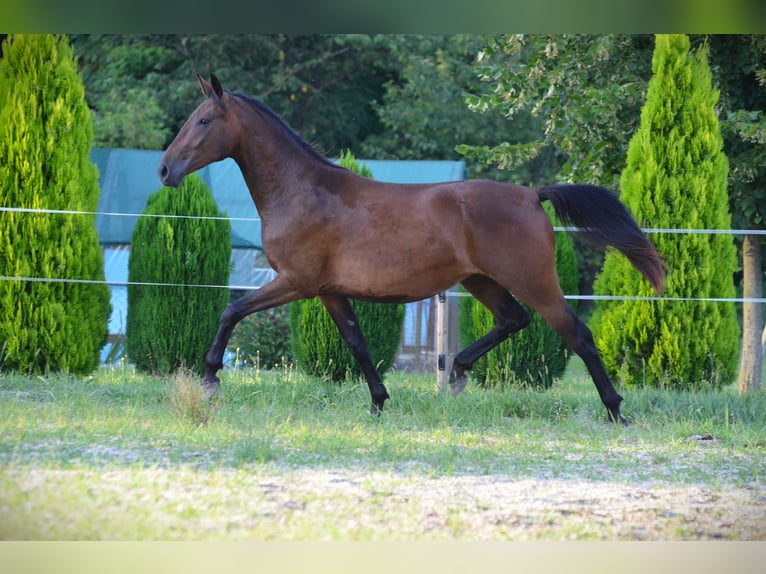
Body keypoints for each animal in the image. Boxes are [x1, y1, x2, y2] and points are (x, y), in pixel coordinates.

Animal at [160, 74, 664, 426]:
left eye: (203, 120)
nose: (166, 169)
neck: (303, 191)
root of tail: (532, 195)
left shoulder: (295, 283)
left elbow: (231, 310)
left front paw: (209, 379)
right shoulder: (328, 291)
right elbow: (358, 344)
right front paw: (379, 403)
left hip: (534, 282)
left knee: (578, 335)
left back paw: (616, 411)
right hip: (480, 281)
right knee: (513, 320)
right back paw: (457, 372)